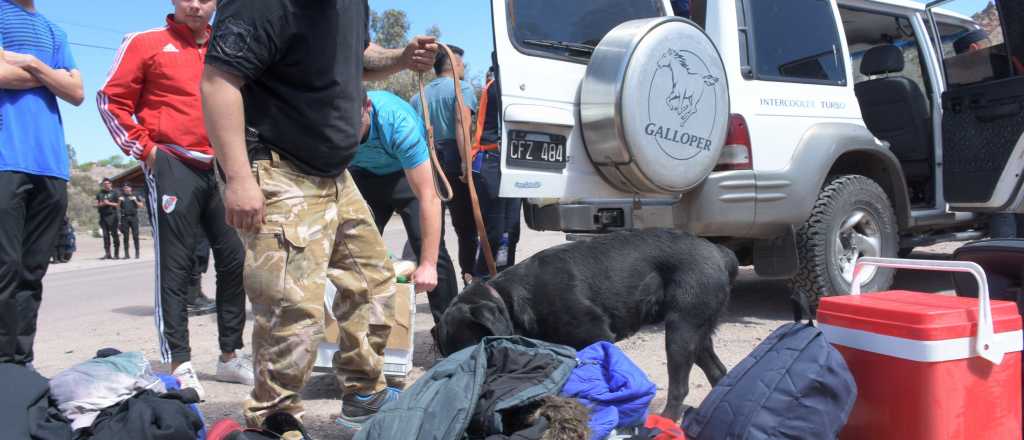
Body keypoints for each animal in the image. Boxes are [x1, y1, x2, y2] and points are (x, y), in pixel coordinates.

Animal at [432, 228, 737, 421]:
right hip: (697, 332)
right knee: (717, 371)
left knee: (679, 388)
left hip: (681, 331)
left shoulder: (596, 336)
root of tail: (719, 252)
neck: (510, 298)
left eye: (472, 349)